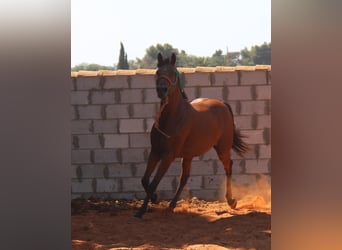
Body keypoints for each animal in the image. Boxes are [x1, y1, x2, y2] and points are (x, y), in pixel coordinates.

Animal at [134, 52, 248, 219]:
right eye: (157, 72)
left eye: (172, 73)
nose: (162, 90)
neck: (173, 118)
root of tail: (222, 104)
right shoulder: (155, 151)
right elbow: (145, 179)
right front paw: (154, 198)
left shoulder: (168, 155)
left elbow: (154, 181)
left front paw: (142, 210)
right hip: (188, 155)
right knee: (184, 178)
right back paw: (172, 205)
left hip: (222, 148)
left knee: (228, 167)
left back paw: (231, 201)